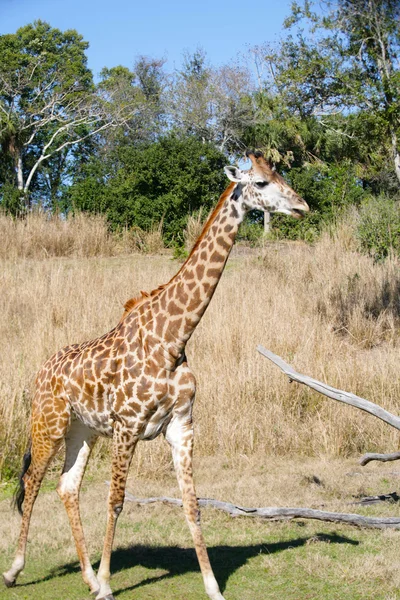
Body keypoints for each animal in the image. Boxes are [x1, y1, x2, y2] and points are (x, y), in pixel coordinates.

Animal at [2, 150, 310, 600]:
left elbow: (192, 504)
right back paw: (16, 570)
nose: (302, 206)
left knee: (67, 487)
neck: (173, 339)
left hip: (83, 431)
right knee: (33, 482)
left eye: (280, 173)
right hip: (48, 423)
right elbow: (116, 501)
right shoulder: (127, 425)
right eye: (262, 183)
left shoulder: (181, 425)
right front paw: (109, 585)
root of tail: (41, 371)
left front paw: (212, 587)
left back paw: (87, 577)